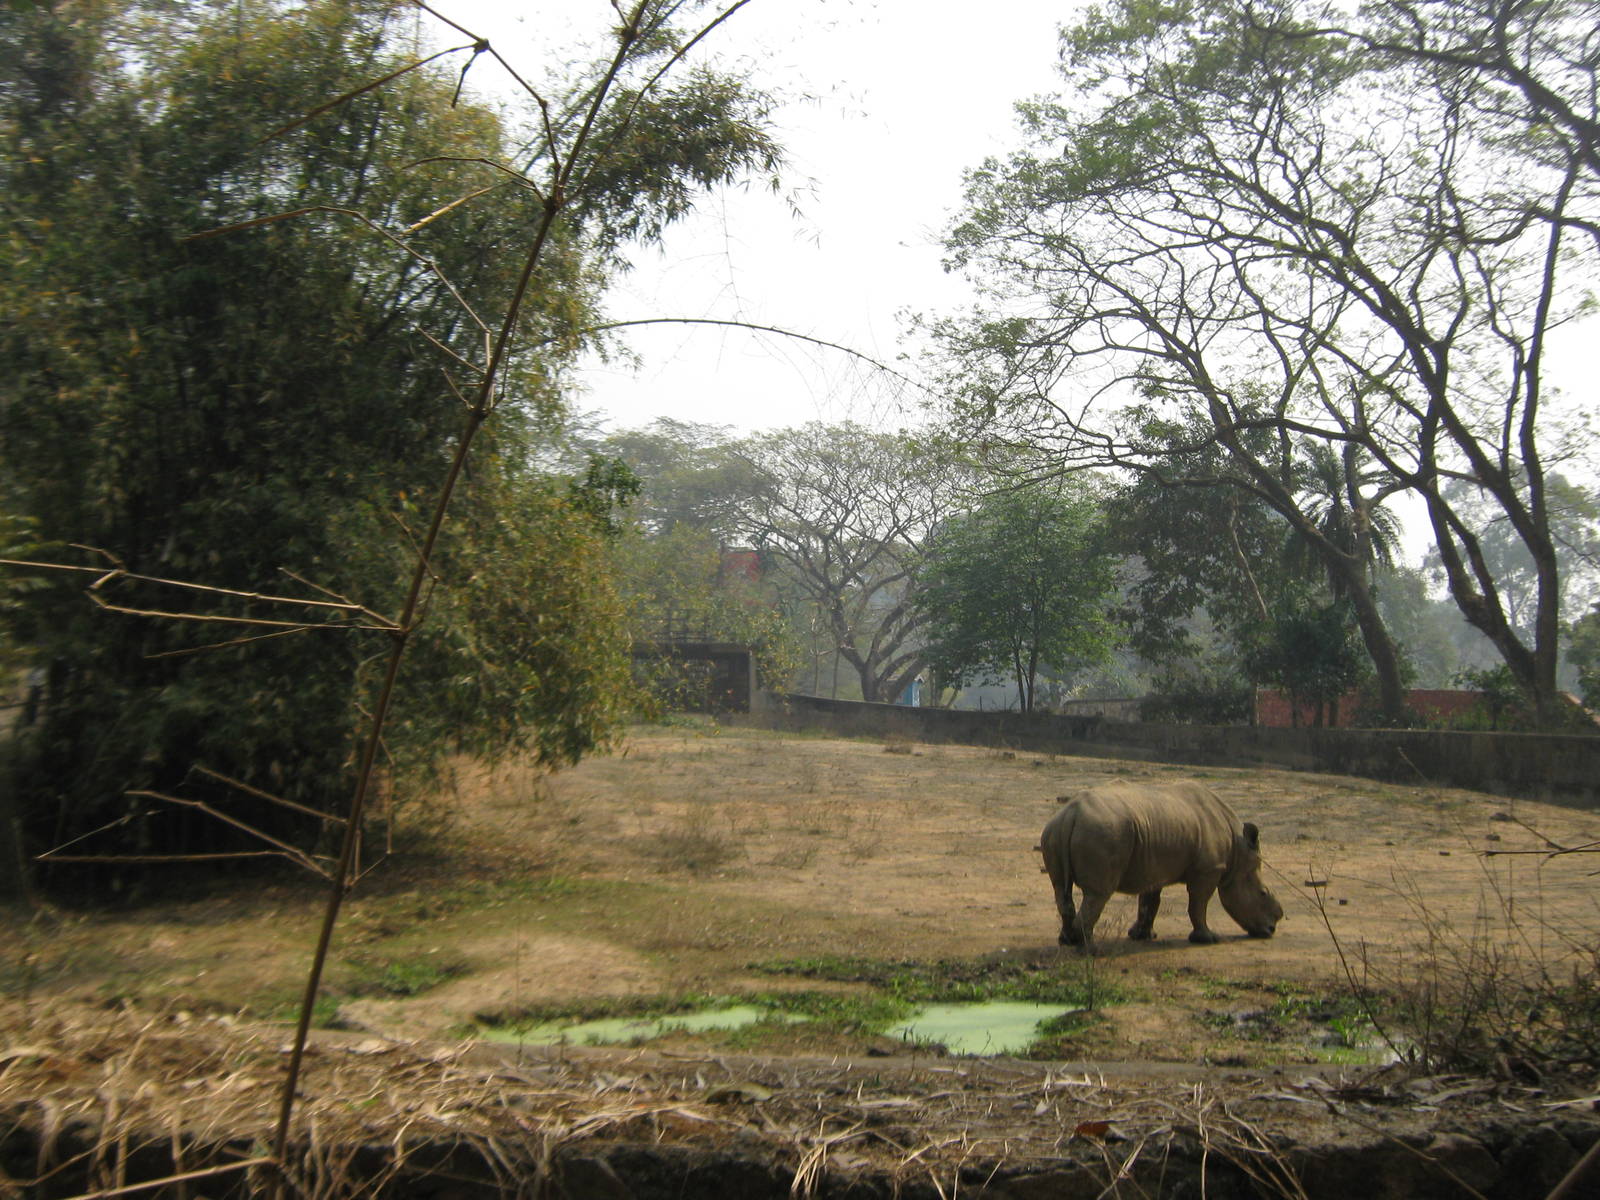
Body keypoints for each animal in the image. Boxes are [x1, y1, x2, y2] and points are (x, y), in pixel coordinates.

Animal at [1040, 781, 1283, 950]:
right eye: (1263, 893)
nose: (1271, 929)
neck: (1237, 851)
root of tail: (1071, 813)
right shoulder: (1209, 868)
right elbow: (1199, 903)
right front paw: (1208, 939)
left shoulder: (1153, 865)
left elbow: (1150, 901)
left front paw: (1142, 936)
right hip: (1102, 833)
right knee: (1098, 893)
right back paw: (1091, 949)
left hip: (1054, 831)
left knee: (1061, 889)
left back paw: (1067, 941)